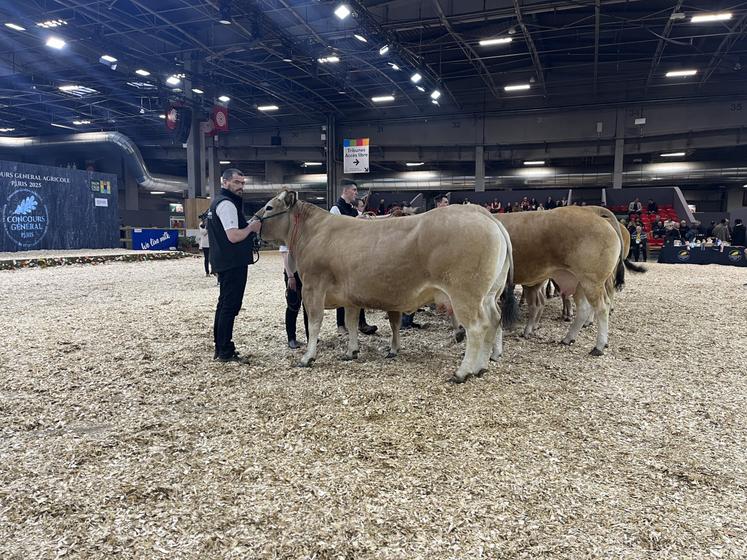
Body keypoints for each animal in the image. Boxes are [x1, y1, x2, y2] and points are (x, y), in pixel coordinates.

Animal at [254, 190, 516, 382]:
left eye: (269, 207)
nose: (251, 221)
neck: (313, 233)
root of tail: (484, 214)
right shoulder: (349, 296)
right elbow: (350, 323)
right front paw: (351, 351)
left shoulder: (313, 287)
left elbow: (315, 323)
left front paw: (307, 357)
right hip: (489, 294)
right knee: (494, 320)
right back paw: (482, 367)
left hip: (465, 295)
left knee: (477, 328)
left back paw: (463, 372)